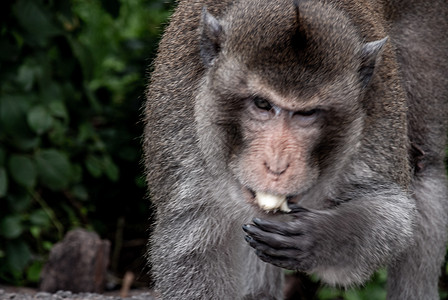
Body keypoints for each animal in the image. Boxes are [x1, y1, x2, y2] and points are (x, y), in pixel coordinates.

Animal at [143, 0, 448, 298]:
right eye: (262, 104)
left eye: (307, 113)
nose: (277, 166)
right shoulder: (183, 125)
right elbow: (194, 244)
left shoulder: (376, 109)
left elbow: (392, 213)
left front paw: (321, 237)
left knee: (424, 166)